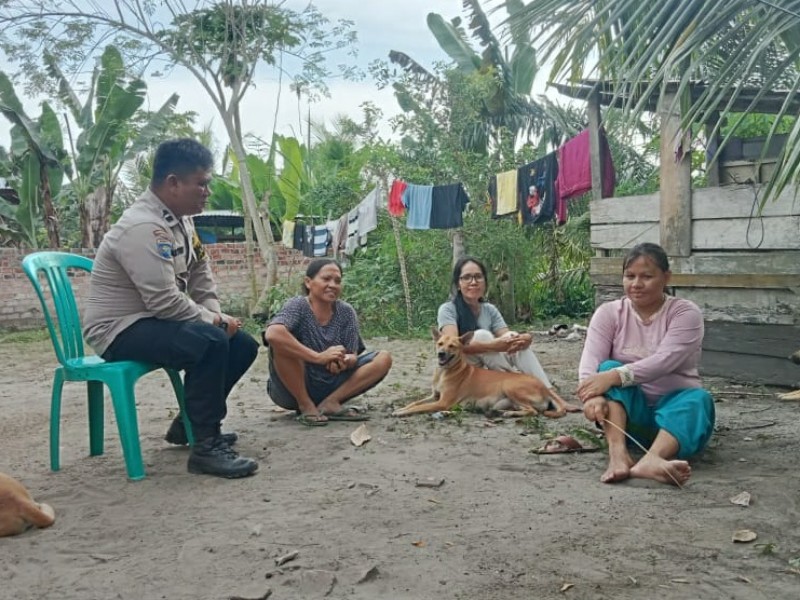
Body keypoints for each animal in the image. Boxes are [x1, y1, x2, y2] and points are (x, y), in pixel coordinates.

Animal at [390, 328, 580, 418]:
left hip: (510, 386)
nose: (441, 354)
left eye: (453, 346)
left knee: (533, 411)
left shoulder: (442, 402)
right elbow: (415, 403)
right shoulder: (434, 396)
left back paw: (509, 414)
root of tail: (544, 387)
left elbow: (419, 407)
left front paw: (401, 412)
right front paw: (401, 408)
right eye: (440, 343)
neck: (445, 372)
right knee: (528, 409)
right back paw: (505, 413)